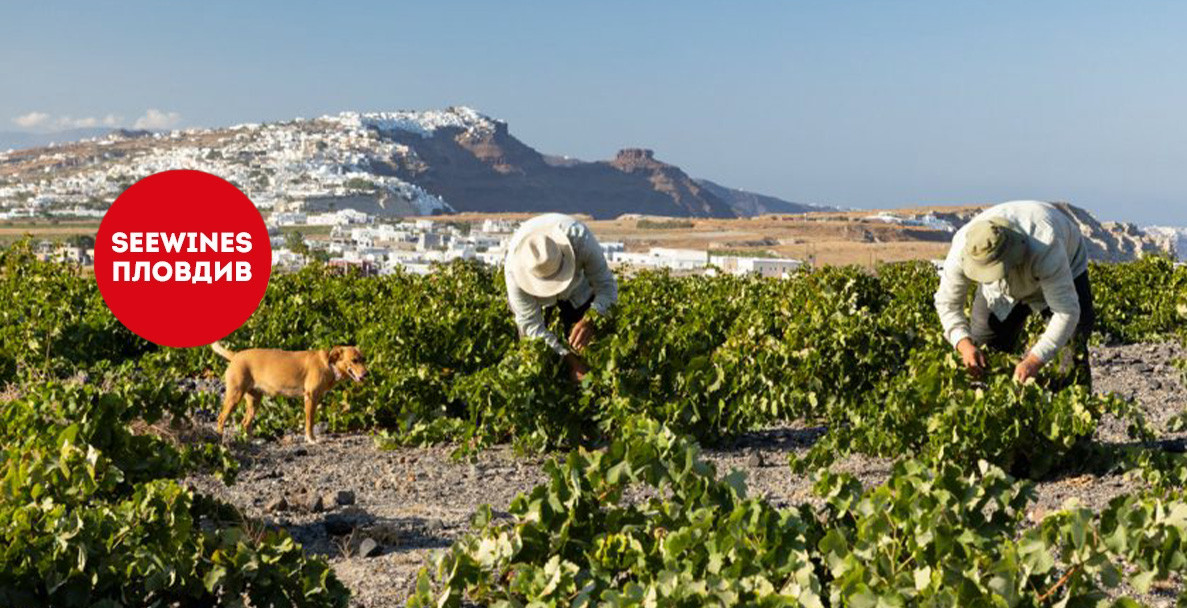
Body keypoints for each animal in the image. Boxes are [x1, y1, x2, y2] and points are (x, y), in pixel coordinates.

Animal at [210, 342, 365, 441]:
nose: (366, 374)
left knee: (245, 422)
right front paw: (311, 439)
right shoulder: (310, 398)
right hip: (235, 396)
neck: (329, 364)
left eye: (363, 359)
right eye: (354, 360)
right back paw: (219, 439)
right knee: (221, 418)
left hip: (254, 400)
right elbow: (309, 422)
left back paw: (250, 441)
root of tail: (235, 355)